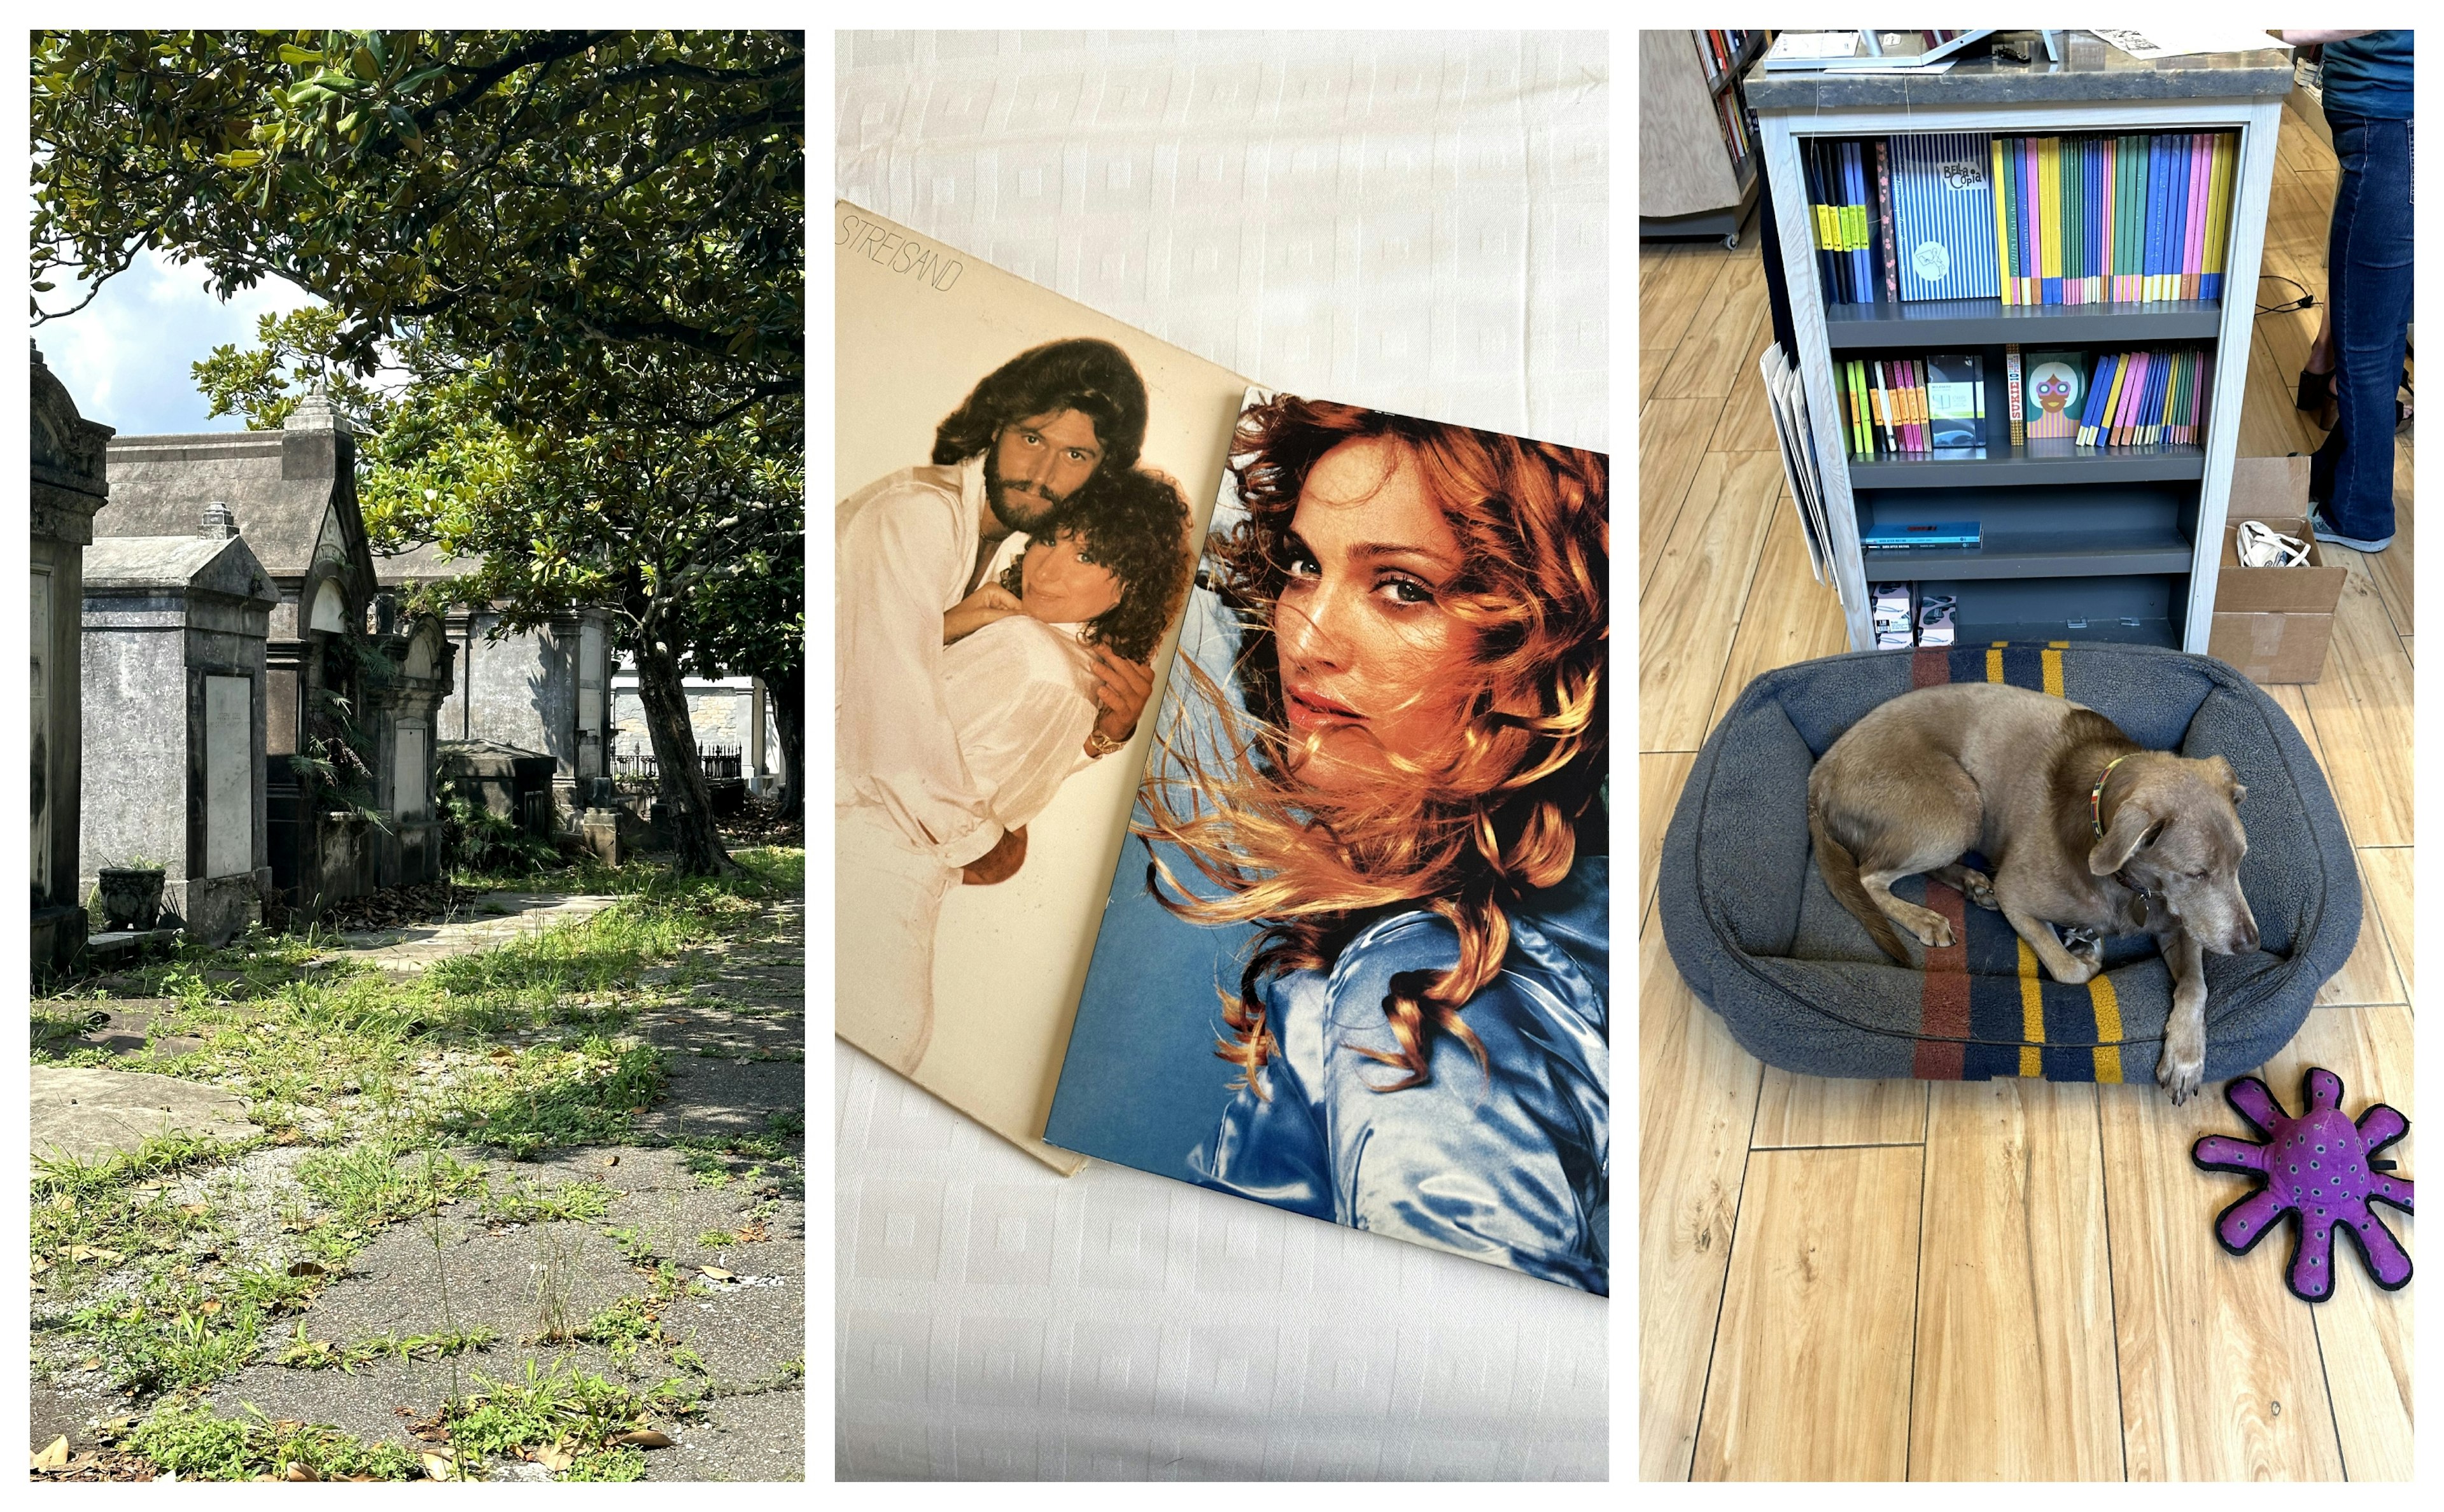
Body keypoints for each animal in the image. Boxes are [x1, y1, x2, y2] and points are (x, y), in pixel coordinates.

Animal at [1808, 683, 2258, 1099]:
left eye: (2241, 861)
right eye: (2196, 873)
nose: (2251, 944)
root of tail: (1820, 775)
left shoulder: (2181, 924)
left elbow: (2196, 984)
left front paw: (2185, 1058)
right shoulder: (2017, 897)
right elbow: (2070, 971)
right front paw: (2086, 951)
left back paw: (1974, 884)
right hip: (1960, 806)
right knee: (1869, 877)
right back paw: (1925, 917)